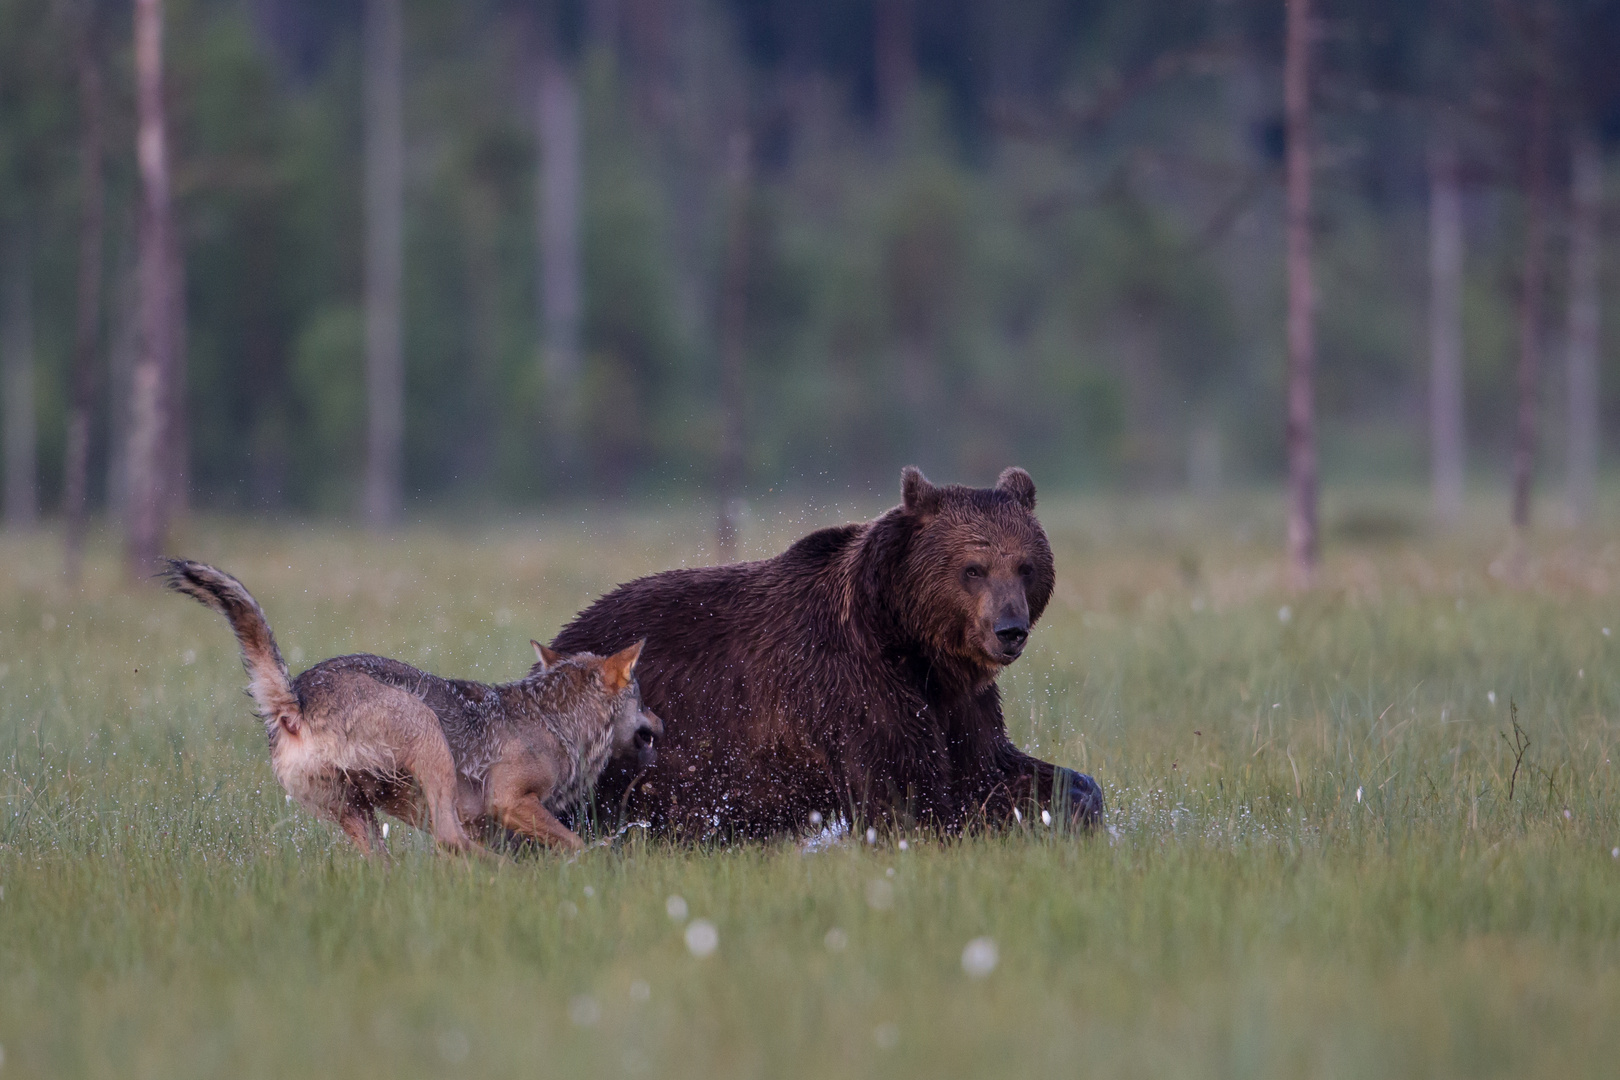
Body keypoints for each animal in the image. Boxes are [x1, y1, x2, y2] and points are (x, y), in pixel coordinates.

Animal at [166, 563, 664, 854]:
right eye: (642, 697)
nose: (660, 721)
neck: (555, 721)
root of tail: (297, 698)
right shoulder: (508, 802)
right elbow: (576, 844)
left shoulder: (486, 819)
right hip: (427, 734)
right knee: (449, 841)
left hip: (362, 810)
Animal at [554, 466, 1101, 835]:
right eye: (973, 568)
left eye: (1026, 566)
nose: (1009, 630)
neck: (910, 642)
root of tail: (562, 637)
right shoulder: (850, 686)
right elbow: (908, 791)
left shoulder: (959, 700)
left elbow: (991, 765)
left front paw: (1075, 802)